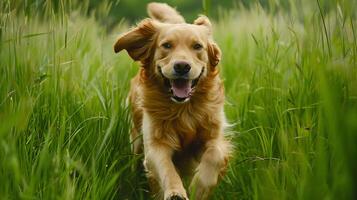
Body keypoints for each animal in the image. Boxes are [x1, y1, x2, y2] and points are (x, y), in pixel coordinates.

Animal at [114, 2, 231, 199]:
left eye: (197, 46)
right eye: (167, 45)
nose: (182, 66)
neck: (183, 110)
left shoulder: (213, 136)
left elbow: (214, 156)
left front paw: (199, 187)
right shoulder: (155, 143)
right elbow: (166, 169)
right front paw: (176, 193)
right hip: (136, 142)